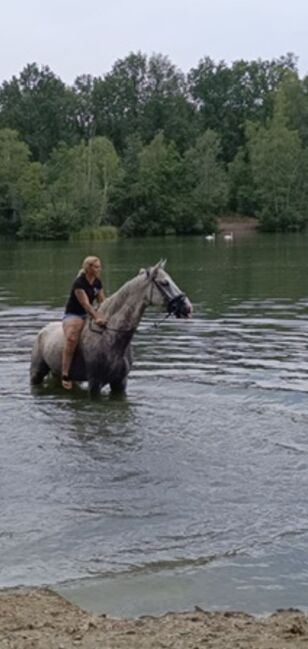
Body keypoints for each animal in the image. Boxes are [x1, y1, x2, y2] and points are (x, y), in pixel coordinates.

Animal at [30, 260, 191, 394]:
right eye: (164, 283)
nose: (188, 307)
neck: (110, 336)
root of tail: (43, 330)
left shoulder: (120, 383)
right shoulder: (95, 383)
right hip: (36, 373)